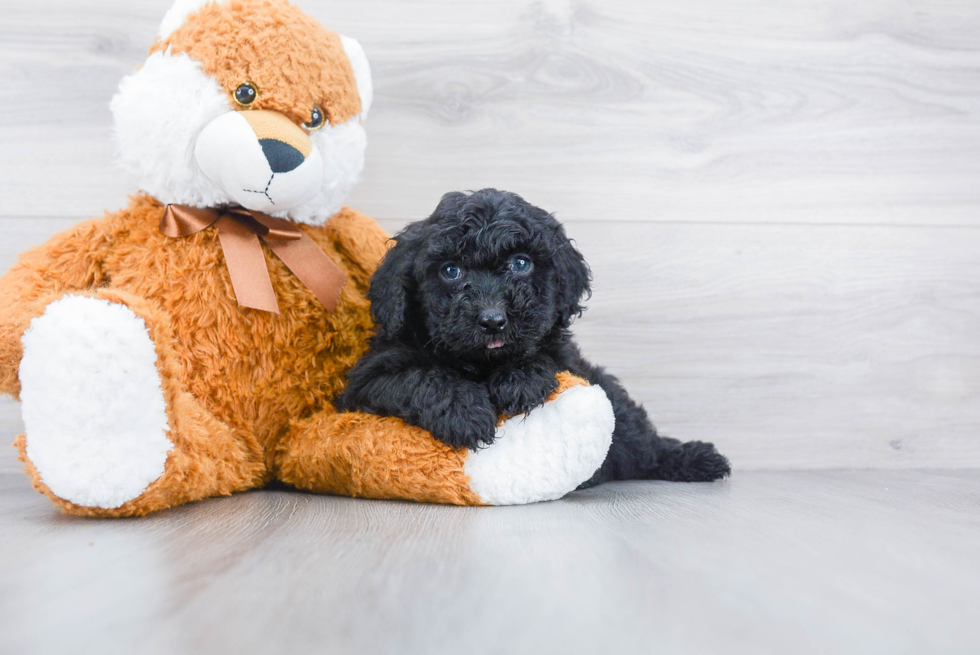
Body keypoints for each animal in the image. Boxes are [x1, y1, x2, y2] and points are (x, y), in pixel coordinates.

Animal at [336, 190, 728, 486]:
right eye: (451, 271)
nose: (493, 320)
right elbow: (418, 375)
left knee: (641, 442)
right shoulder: (365, 381)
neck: (479, 363)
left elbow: (542, 354)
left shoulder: (566, 357)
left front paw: (519, 379)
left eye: (521, 263)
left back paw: (696, 458)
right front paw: (464, 411)